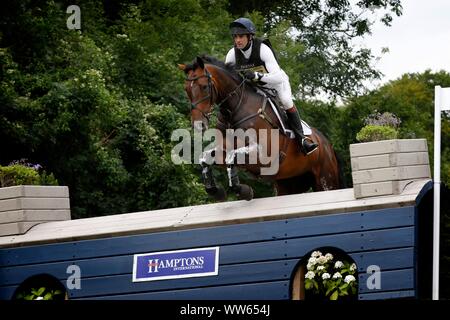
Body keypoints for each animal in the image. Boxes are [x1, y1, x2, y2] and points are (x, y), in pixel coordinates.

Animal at [178, 55, 340, 200]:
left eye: (204, 87)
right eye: (186, 89)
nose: (198, 125)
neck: (237, 108)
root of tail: (327, 144)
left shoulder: (262, 155)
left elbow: (232, 157)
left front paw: (243, 191)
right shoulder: (224, 149)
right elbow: (205, 158)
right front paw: (216, 191)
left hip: (326, 181)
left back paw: (307, 144)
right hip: (288, 183)